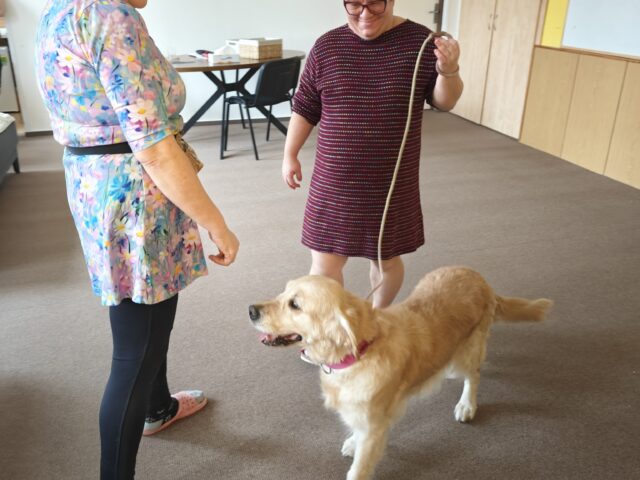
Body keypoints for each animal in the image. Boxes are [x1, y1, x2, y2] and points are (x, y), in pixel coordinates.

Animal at [248, 266, 552, 480]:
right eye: (283, 293)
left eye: (295, 304)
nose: (251, 310)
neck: (359, 354)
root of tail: (480, 278)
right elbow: (356, 431)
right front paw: (352, 441)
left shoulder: (375, 427)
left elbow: (358, 469)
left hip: (469, 350)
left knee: (473, 376)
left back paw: (467, 405)